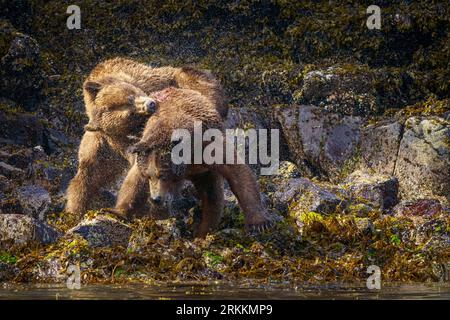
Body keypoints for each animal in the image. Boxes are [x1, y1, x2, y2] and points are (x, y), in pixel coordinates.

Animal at [65, 58, 229, 216]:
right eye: (131, 115)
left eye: (131, 96)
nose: (151, 104)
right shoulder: (108, 145)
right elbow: (90, 171)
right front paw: (74, 208)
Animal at [119, 87, 272, 238]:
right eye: (148, 176)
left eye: (162, 175)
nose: (156, 198)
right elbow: (133, 182)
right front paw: (120, 211)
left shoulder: (206, 148)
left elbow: (237, 172)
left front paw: (259, 223)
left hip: (204, 171)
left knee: (212, 195)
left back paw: (204, 230)